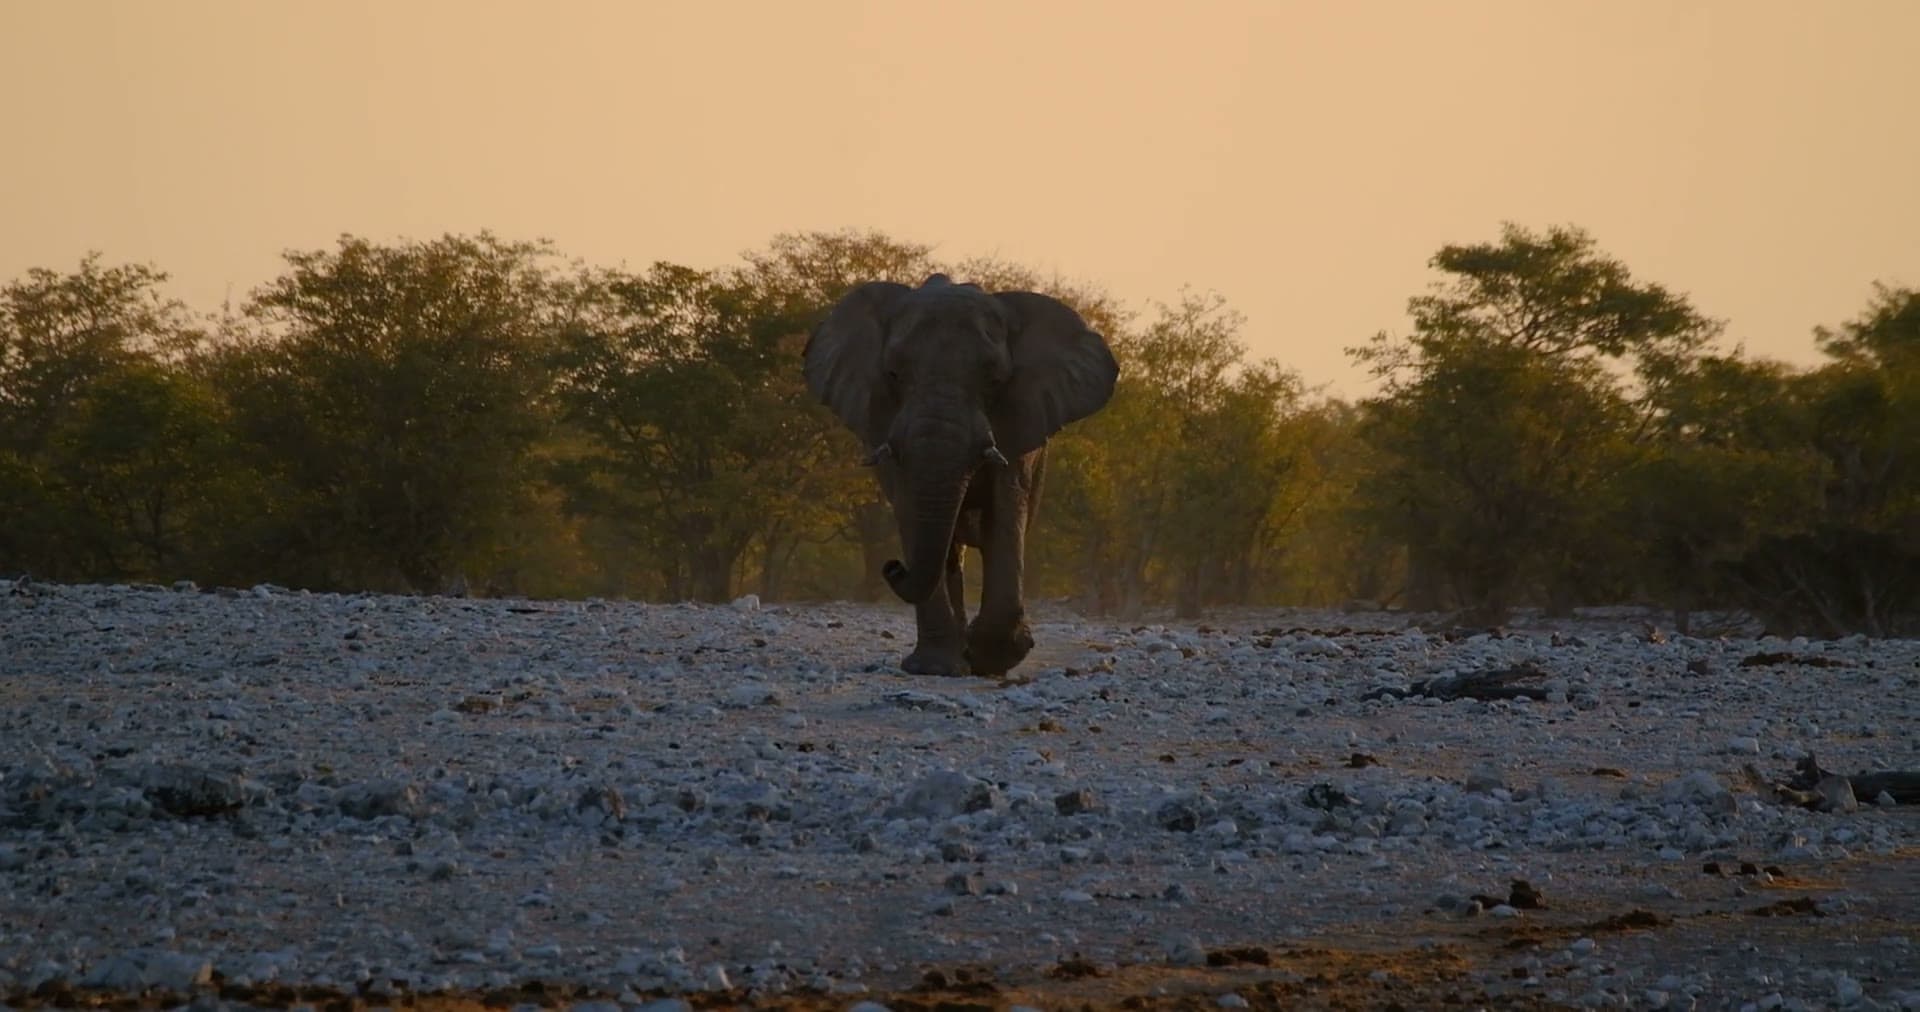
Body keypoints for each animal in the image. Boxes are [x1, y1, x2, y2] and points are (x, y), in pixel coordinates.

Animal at [803, 273, 1119, 677]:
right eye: (893, 374)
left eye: (995, 380)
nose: (892, 566)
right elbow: (912, 511)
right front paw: (936, 667)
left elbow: (1006, 510)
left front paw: (991, 658)